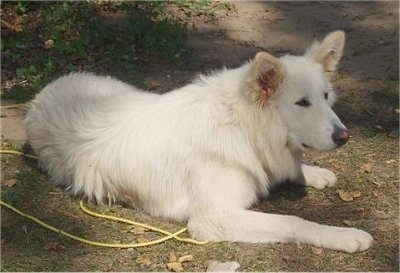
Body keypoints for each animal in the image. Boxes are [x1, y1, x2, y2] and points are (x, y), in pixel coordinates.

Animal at [24, 29, 376, 251]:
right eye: (302, 103)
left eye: (326, 97)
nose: (344, 136)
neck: (242, 126)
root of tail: (45, 90)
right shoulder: (212, 219)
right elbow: (294, 221)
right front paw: (344, 236)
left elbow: (288, 167)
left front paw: (312, 173)